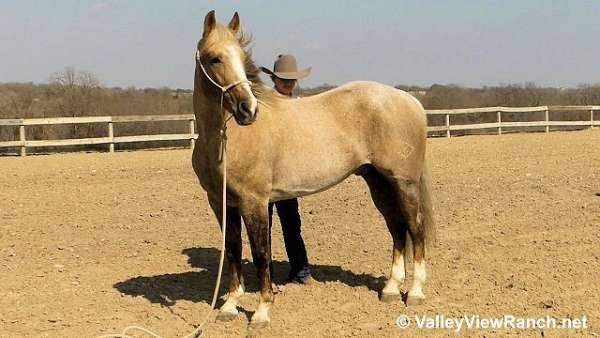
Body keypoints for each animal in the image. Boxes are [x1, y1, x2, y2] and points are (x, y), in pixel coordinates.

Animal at [195, 11, 434, 330]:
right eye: (214, 58)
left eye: (242, 57)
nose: (248, 110)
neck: (226, 138)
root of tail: (411, 100)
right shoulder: (221, 202)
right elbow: (233, 250)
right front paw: (231, 305)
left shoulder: (253, 201)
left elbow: (260, 253)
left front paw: (261, 312)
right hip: (378, 183)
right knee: (396, 228)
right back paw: (391, 289)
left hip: (404, 183)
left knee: (415, 228)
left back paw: (416, 292)